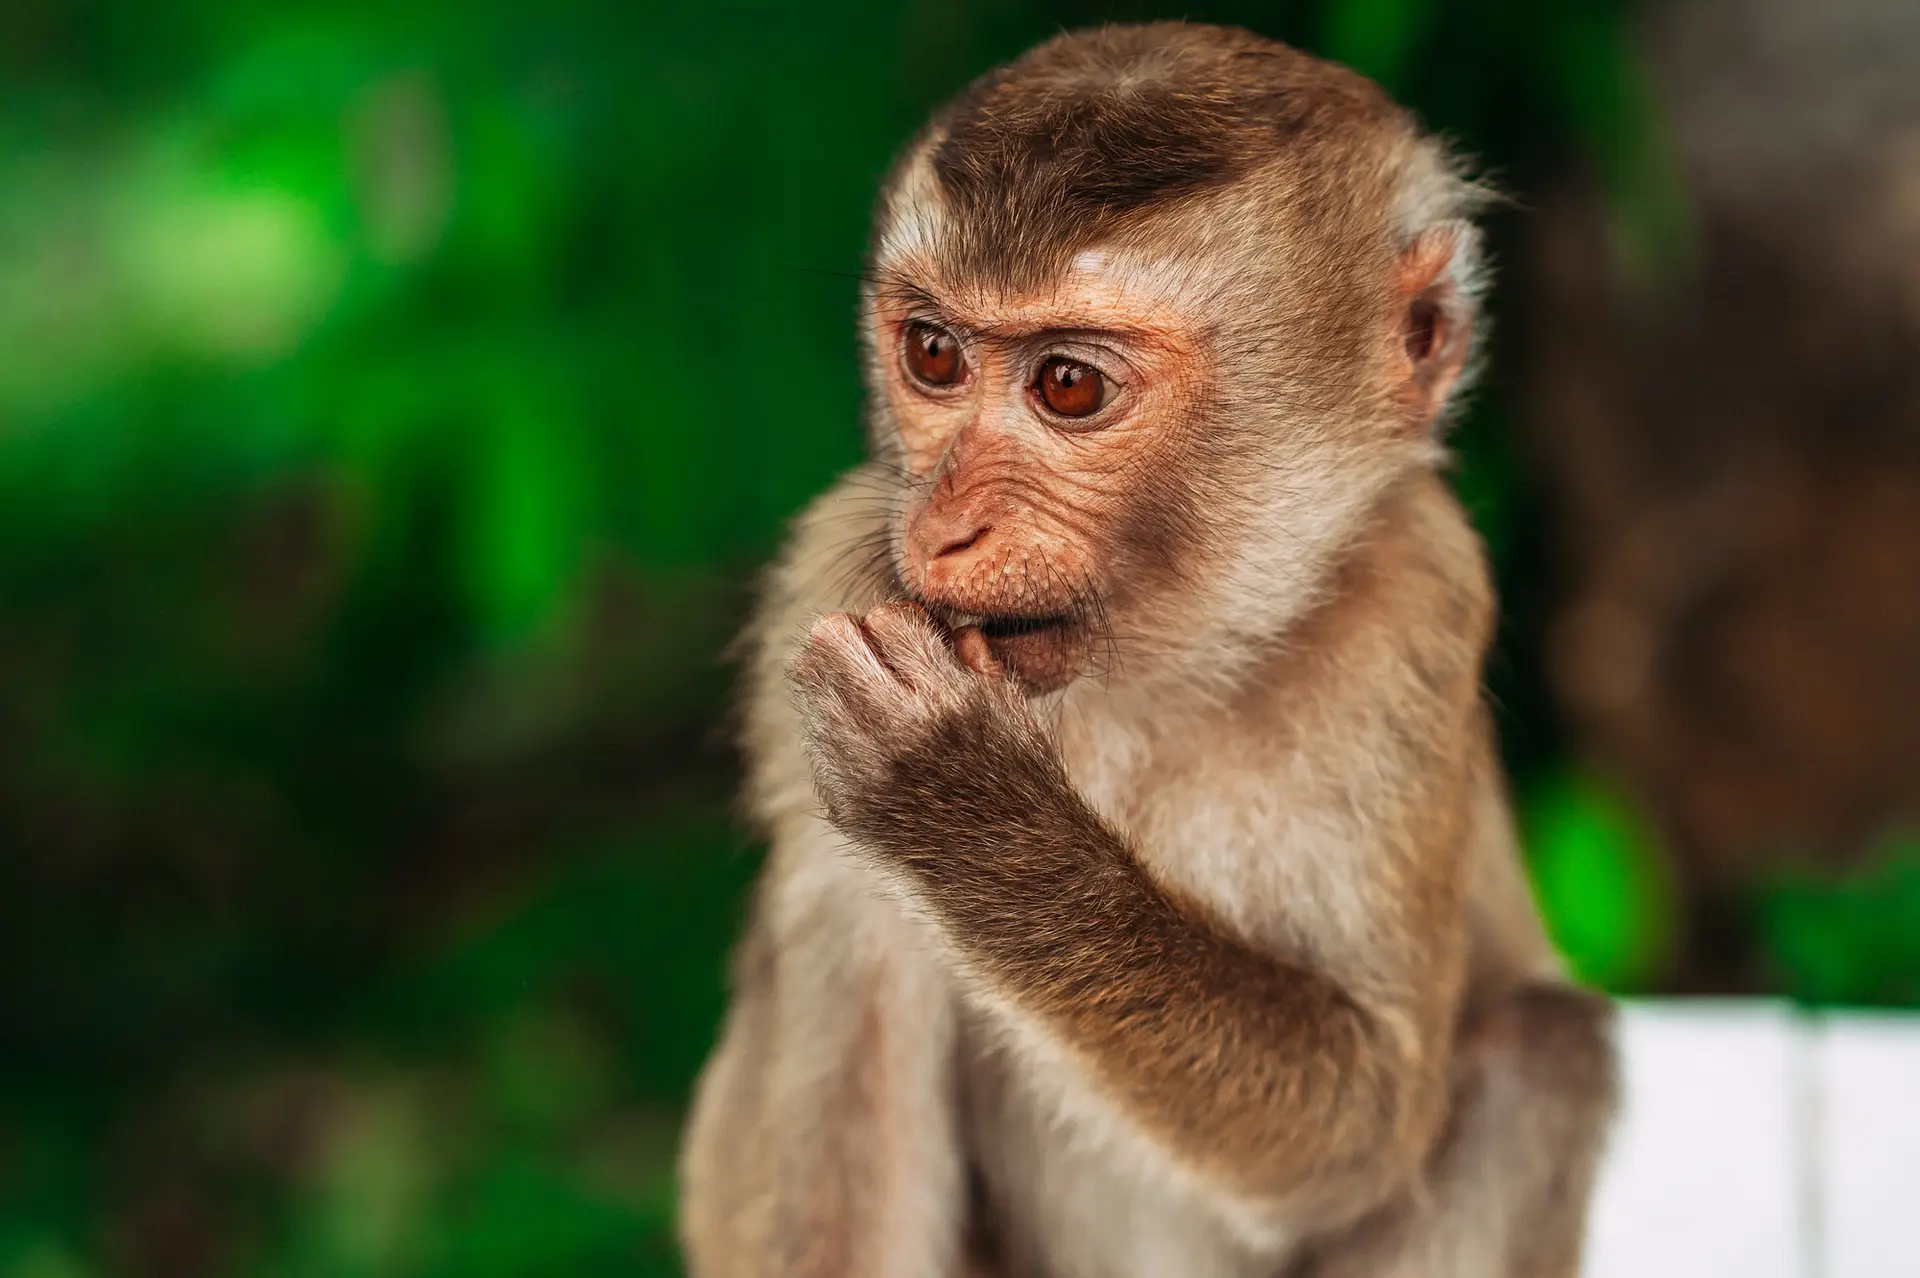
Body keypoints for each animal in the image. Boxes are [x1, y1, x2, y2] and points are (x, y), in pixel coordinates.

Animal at [678, 22, 1617, 1278]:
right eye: (933, 354)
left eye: (1068, 384)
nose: (941, 528)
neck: (1151, 675)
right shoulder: (827, 577)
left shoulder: (1418, 597)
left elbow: (1364, 1125)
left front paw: (967, 811)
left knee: (1541, 1058)